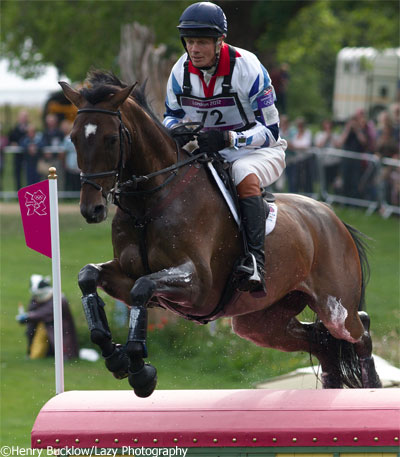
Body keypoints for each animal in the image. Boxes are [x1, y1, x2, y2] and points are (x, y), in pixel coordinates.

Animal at [58, 71, 382, 396]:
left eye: (111, 139)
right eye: (73, 138)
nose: (92, 209)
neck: (148, 204)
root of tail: (334, 219)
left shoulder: (198, 285)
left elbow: (142, 288)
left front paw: (140, 372)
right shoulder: (127, 275)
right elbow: (89, 276)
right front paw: (117, 358)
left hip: (335, 307)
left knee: (360, 332)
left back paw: (373, 388)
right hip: (262, 323)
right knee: (322, 344)